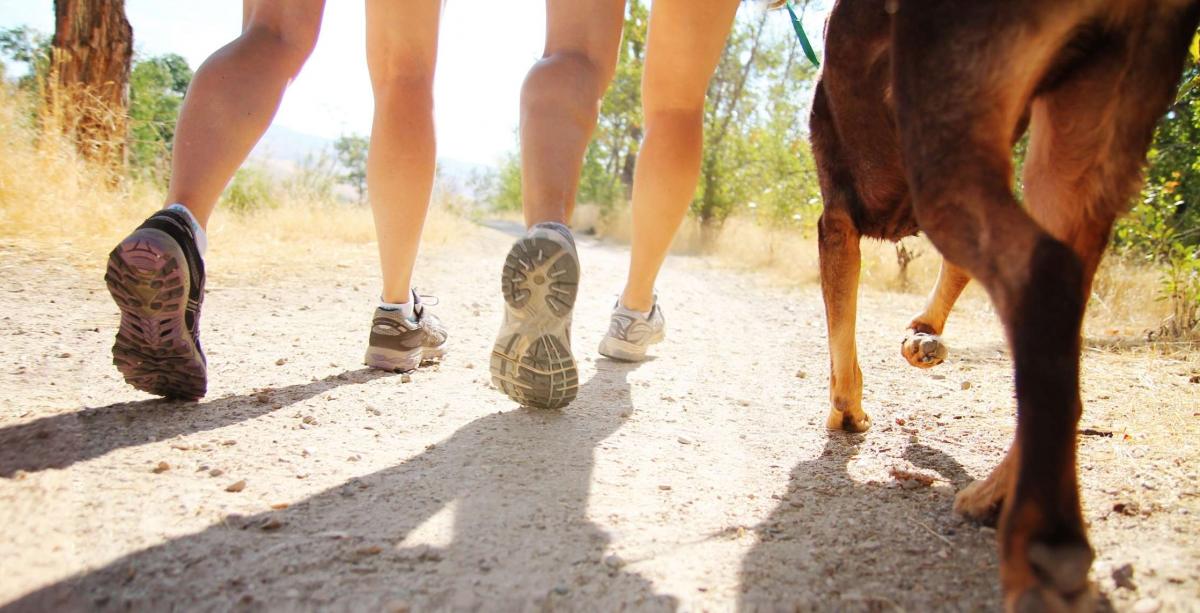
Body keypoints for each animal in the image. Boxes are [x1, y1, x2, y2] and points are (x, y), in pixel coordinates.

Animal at [811, 0, 1195, 609]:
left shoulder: (837, 222)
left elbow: (841, 342)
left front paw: (847, 413)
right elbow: (951, 272)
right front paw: (921, 337)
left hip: (949, 140)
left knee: (1042, 278)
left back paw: (1045, 545)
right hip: (1076, 140)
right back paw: (994, 495)